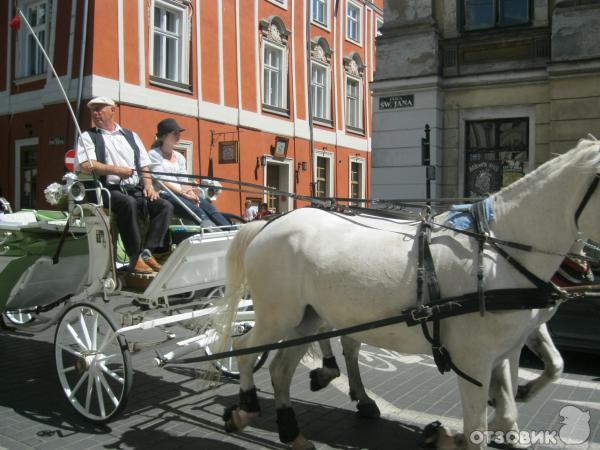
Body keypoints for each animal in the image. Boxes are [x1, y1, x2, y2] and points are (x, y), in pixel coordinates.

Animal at [213, 139, 596, 448]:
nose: (586, 269)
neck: (496, 253)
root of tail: (270, 222)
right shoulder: (473, 360)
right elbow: (480, 425)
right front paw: (459, 433)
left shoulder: (508, 349)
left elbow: (519, 394)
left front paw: (503, 417)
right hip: (279, 315)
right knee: (246, 351)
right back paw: (247, 409)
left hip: (309, 316)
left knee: (283, 368)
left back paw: (295, 430)